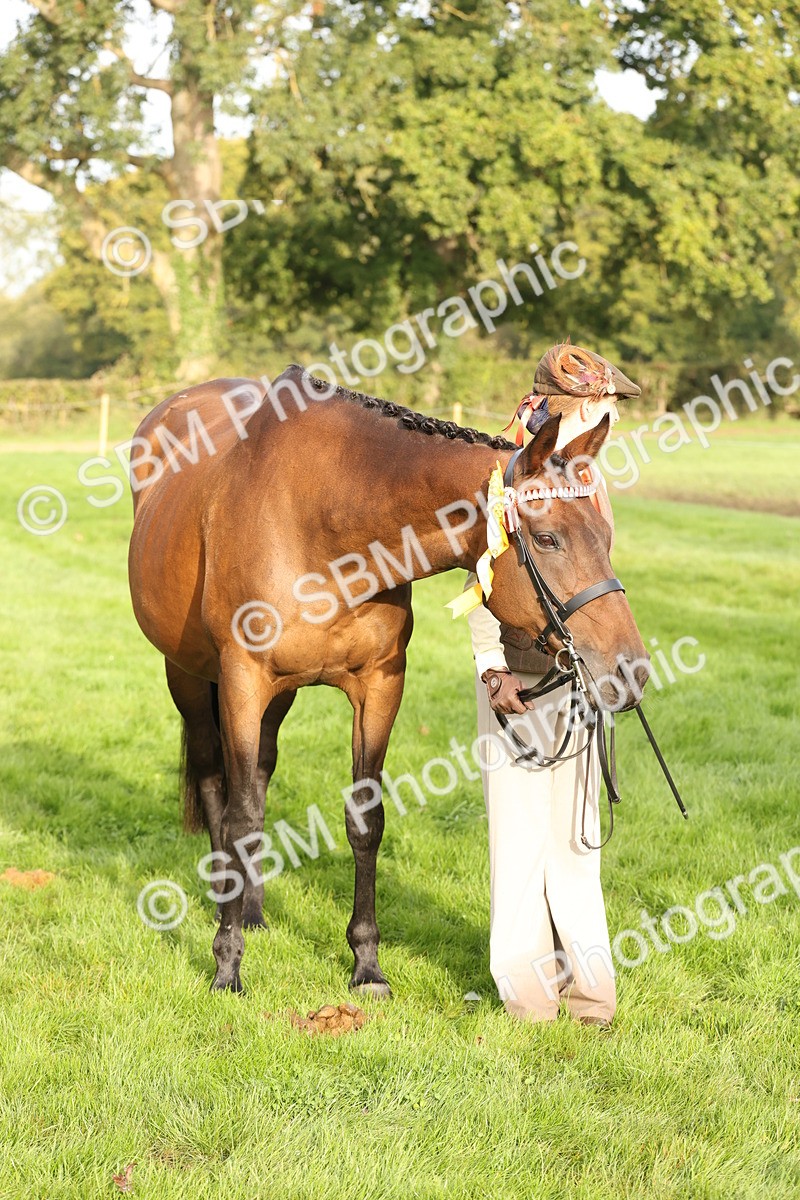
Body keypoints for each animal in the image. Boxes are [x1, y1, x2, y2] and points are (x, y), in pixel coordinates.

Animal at [128, 364, 648, 994]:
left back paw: (250, 908)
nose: (630, 668)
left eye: (606, 534)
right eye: (547, 539)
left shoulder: (378, 684)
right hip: (188, 676)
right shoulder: (241, 681)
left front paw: (366, 963)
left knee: (260, 771)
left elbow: (364, 818)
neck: (322, 521)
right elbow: (239, 815)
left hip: (278, 695)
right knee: (213, 782)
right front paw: (227, 965)